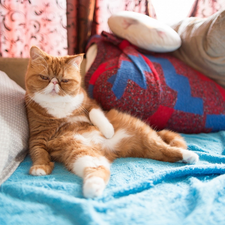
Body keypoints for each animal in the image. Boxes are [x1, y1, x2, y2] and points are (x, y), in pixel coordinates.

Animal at [24, 46, 199, 198]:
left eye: (65, 80)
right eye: (44, 77)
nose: (54, 83)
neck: (58, 107)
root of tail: (110, 149)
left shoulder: (90, 103)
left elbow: (96, 114)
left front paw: (108, 131)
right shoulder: (38, 136)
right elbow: (38, 152)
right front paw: (40, 167)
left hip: (145, 136)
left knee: (167, 149)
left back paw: (190, 155)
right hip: (82, 152)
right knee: (99, 170)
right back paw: (93, 189)